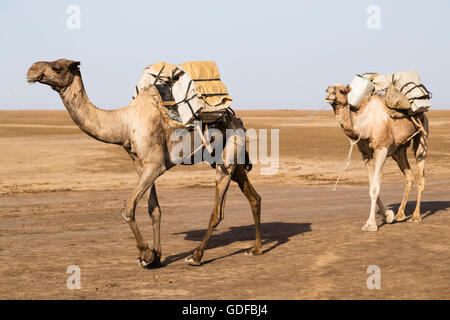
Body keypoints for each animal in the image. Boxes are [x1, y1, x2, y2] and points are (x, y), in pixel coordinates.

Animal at [25, 58, 264, 266]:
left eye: (57, 67)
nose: (31, 69)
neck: (124, 123)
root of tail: (237, 120)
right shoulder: (141, 165)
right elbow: (154, 209)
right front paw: (156, 257)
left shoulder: (156, 165)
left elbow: (128, 207)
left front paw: (145, 255)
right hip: (235, 162)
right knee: (254, 197)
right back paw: (256, 249)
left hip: (227, 157)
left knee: (218, 211)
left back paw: (196, 257)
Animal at [326, 84, 428, 231]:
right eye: (327, 88)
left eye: (342, 91)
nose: (329, 93)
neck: (364, 124)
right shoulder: (366, 154)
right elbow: (372, 185)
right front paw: (388, 215)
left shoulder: (381, 150)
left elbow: (375, 188)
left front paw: (371, 224)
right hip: (399, 150)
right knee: (409, 175)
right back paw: (400, 214)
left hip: (422, 134)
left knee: (421, 175)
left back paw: (416, 216)